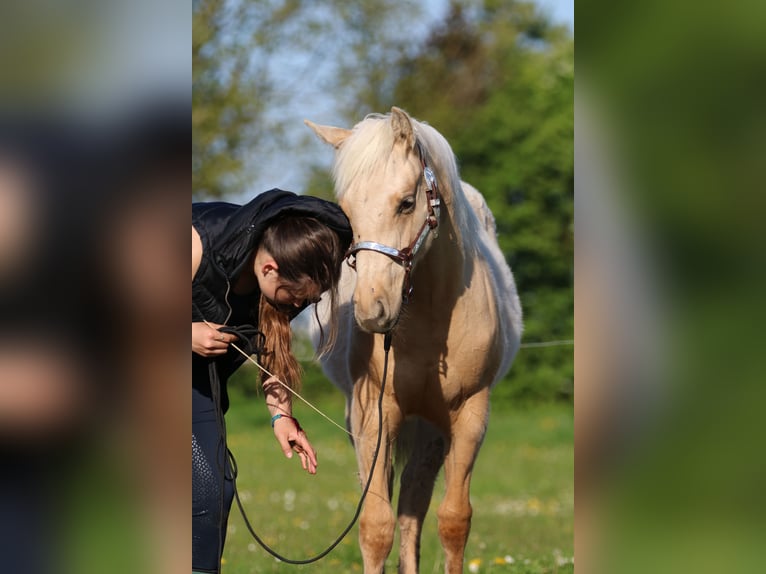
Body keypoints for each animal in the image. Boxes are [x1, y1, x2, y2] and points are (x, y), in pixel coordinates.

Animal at [306, 108, 520, 574]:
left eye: (406, 202)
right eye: (346, 210)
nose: (372, 309)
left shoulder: (469, 415)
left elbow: (453, 521)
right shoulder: (372, 413)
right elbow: (375, 525)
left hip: (432, 431)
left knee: (413, 505)